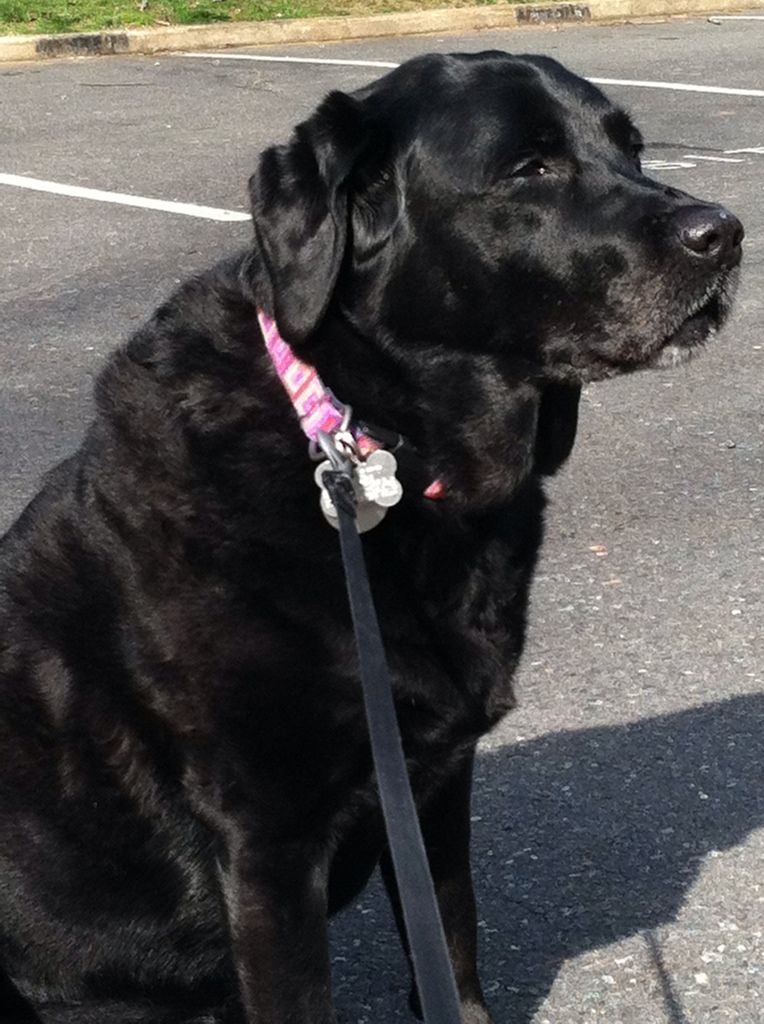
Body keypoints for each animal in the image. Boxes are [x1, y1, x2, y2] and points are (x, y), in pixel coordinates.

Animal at [0, 49, 737, 1024]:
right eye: (529, 168)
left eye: (632, 147)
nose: (724, 231)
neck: (372, 449)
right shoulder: (268, 841)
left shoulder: (434, 784)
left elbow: (454, 947)